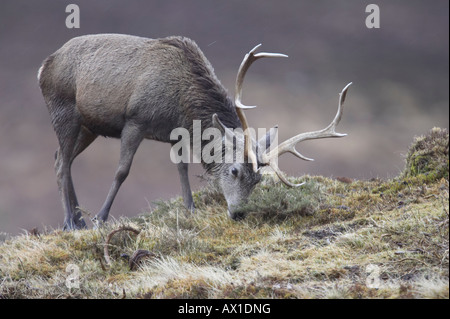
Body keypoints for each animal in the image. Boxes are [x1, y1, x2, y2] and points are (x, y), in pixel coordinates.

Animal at [37, 34, 352, 230]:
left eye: (259, 179)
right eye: (235, 170)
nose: (238, 213)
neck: (183, 104)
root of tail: (43, 66)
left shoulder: (175, 133)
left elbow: (182, 167)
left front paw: (189, 209)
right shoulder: (135, 121)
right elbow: (122, 172)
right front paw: (101, 219)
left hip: (89, 126)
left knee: (58, 158)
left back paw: (77, 219)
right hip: (63, 109)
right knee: (62, 162)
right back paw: (70, 222)